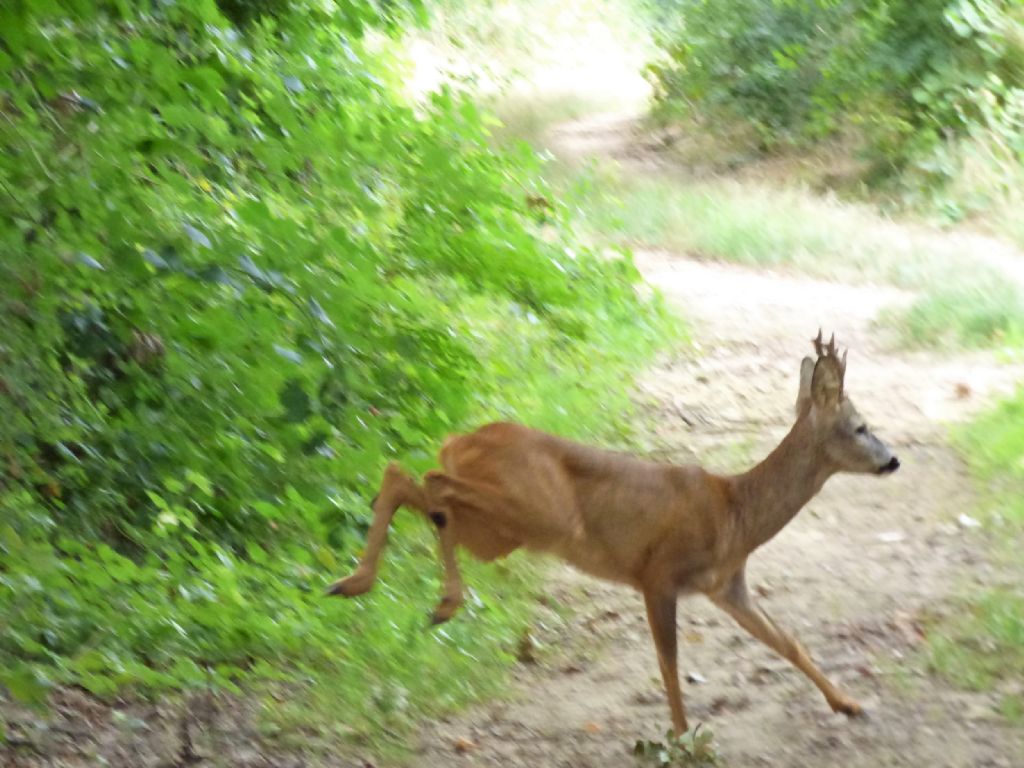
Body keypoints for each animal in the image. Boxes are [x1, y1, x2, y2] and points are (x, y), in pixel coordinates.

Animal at [327, 333, 897, 737]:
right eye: (861, 426)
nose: (892, 460)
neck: (736, 513)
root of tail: (462, 440)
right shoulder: (658, 572)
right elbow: (669, 661)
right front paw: (683, 737)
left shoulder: (725, 586)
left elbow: (787, 641)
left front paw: (847, 703)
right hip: (541, 511)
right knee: (424, 479)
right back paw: (408, 591)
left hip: (500, 533)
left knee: (418, 488)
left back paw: (399, 592)